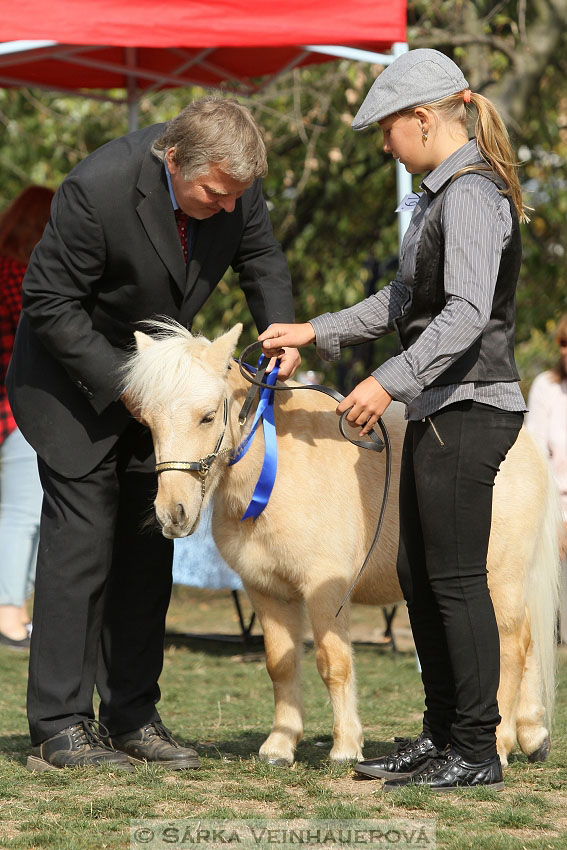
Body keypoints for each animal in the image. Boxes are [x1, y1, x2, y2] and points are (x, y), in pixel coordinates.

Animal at [122, 320, 560, 768]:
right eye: (148, 422)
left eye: (208, 416)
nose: (172, 514)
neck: (277, 474)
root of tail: (524, 446)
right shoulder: (266, 590)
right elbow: (280, 664)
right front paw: (279, 746)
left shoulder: (324, 589)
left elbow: (333, 663)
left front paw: (346, 747)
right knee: (526, 641)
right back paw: (532, 735)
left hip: (499, 577)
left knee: (508, 646)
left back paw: (501, 745)